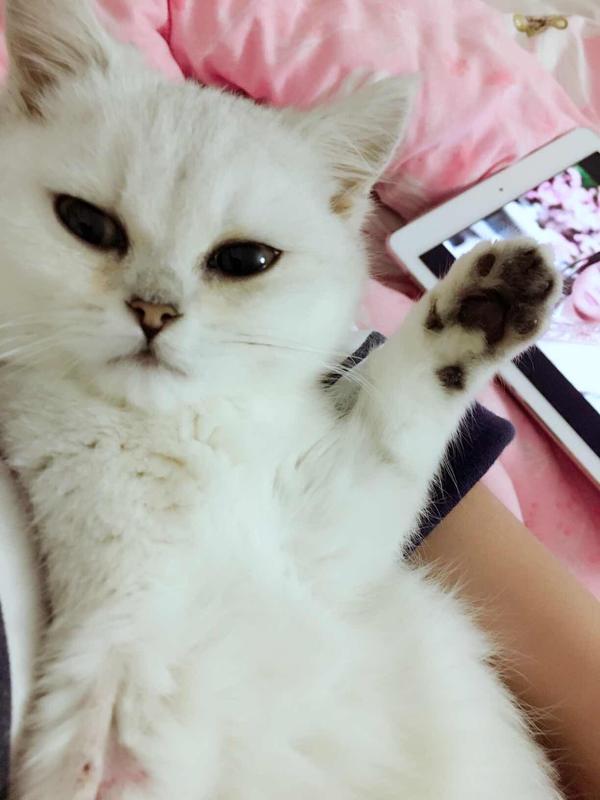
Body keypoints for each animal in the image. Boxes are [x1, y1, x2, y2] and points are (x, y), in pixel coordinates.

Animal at [0, 1, 564, 798]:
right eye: (86, 223)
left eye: (245, 260)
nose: (153, 310)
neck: (169, 435)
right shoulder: (111, 685)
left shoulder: (327, 549)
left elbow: (393, 427)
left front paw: (480, 309)